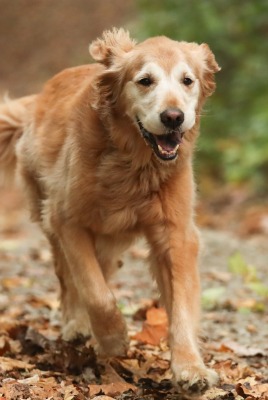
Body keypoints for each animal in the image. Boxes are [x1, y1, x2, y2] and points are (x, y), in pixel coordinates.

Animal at [0, 28, 220, 396]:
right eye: (145, 81)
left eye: (187, 80)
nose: (173, 117)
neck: (134, 163)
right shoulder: (68, 221)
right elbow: (96, 291)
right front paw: (114, 337)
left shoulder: (176, 235)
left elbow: (181, 306)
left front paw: (190, 368)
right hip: (50, 218)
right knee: (68, 278)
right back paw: (77, 325)